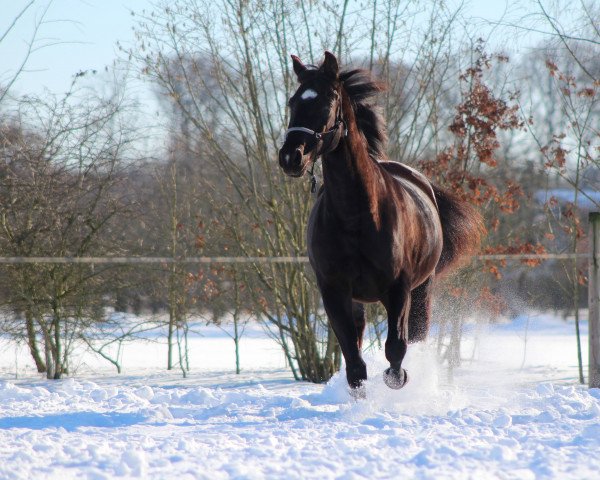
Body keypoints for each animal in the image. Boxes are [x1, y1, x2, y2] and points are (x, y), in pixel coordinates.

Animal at [278, 51, 486, 394]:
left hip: (422, 289)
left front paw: (398, 381)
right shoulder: (334, 291)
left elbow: (396, 353)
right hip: (359, 301)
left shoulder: (398, 289)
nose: (290, 156)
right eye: (293, 101)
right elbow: (354, 362)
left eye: (327, 100)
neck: (356, 216)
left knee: (415, 337)